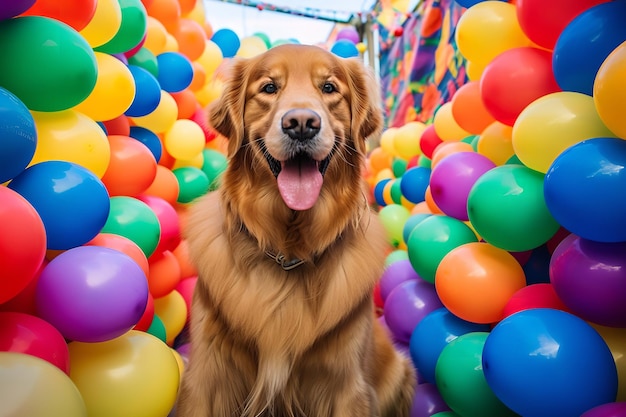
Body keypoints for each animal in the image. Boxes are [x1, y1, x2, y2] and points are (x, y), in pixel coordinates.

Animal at [174, 44, 414, 414]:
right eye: (269, 88)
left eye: (328, 88)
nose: (301, 124)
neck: (289, 251)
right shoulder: (206, 380)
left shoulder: (347, 387)